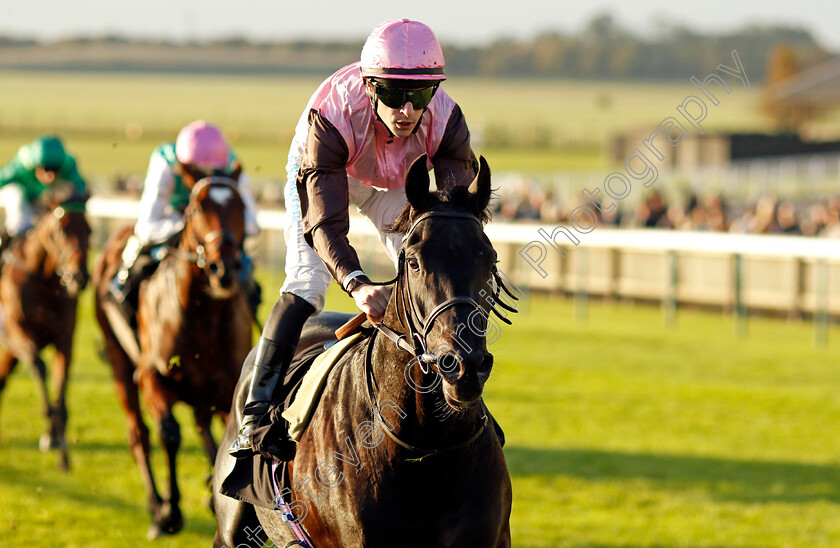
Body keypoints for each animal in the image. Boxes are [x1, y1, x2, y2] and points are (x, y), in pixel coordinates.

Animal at [0, 186, 91, 468]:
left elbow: (61, 392)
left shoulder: (65, 340)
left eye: (89, 229)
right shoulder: (17, 334)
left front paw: (58, 443)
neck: (43, 280)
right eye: (61, 229)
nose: (80, 276)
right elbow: (39, 367)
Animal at [93, 178, 253, 536]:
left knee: (203, 425)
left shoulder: (231, 386)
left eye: (240, 205)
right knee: (139, 434)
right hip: (119, 359)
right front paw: (171, 511)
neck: (204, 316)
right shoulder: (152, 377)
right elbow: (169, 433)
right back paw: (156, 506)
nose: (224, 269)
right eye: (197, 208)